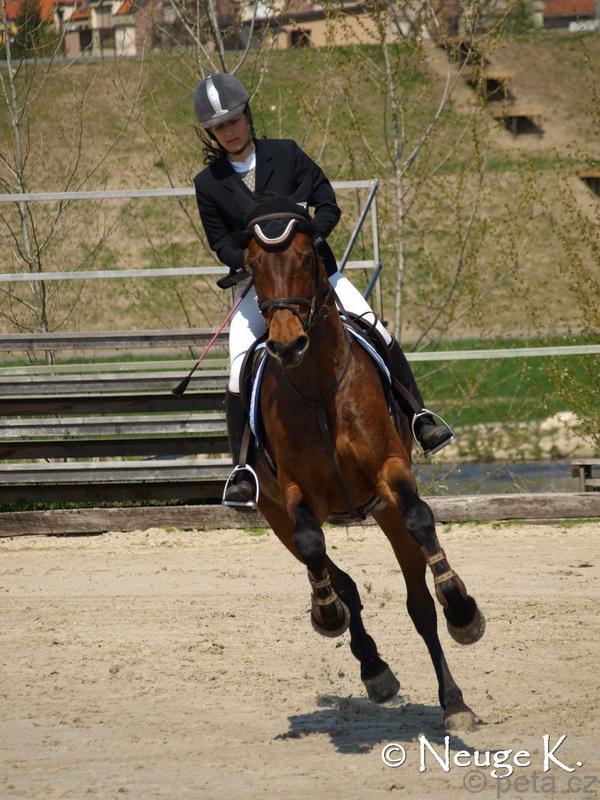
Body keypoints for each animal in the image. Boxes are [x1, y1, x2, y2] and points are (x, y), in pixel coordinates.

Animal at [239, 199, 485, 731]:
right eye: (251, 266)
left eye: (309, 259)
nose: (286, 345)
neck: (317, 386)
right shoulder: (296, 494)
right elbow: (313, 544)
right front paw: (327, 615)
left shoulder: (391, 472)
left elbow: (420, 518)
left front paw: (461, 608)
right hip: (273, 515)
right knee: (339, 578)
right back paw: (370, 662)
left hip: (384, 510)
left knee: (419, 603)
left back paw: (454, 698)